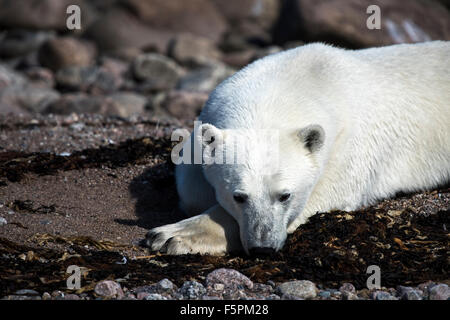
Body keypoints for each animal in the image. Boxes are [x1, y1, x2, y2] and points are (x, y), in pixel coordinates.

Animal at [146, 40, 448, 255]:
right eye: (239, 196)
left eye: (285, 196)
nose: (263, 249)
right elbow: (191, 182)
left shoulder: (348, 148)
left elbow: (324, 193)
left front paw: (172, 236)